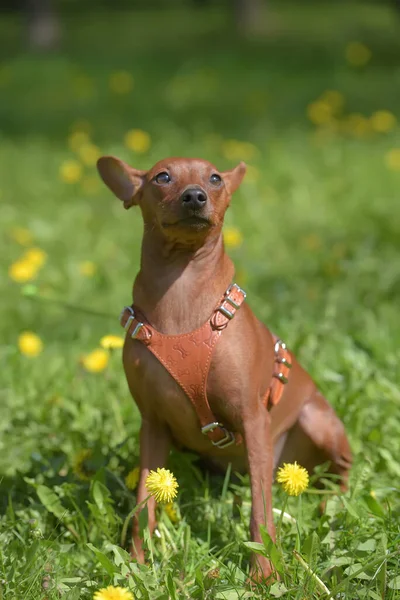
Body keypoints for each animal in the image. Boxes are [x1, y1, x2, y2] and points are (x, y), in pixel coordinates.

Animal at [97, 156, 354, 580]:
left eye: (215, 178)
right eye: (162, 177)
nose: (195, 196)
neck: (182, 297)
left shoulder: (253, 419)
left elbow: (260, 514)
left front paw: (263, 573)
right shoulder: (152, 425)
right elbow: (144, 503)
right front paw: (137, 564)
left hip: (316, 422)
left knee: (341, 477)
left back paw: (329, 505)